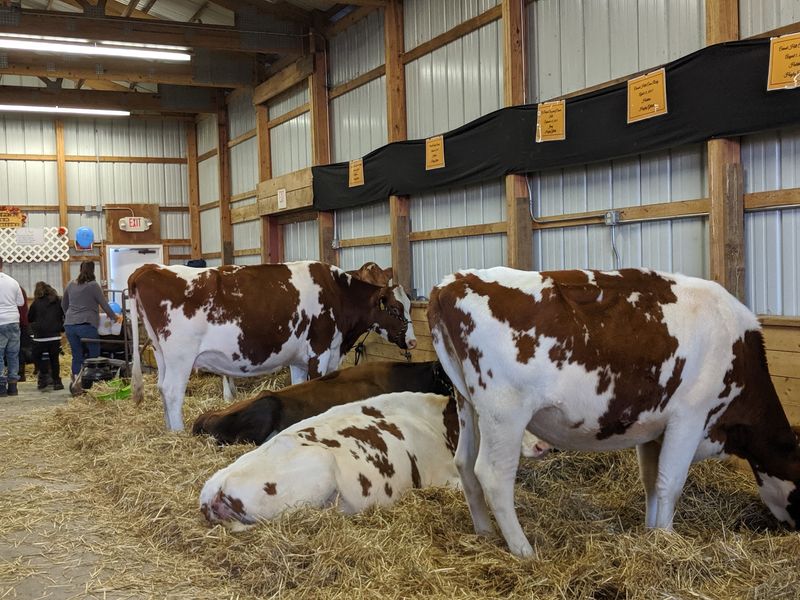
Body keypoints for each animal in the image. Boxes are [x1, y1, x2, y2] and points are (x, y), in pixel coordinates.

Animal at [129, 261, 416, 431]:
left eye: (410, 305)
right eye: (394, 309)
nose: (413, 341)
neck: (338, 293)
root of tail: (150, 268)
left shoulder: (300, 359)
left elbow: (300, 387)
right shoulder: (320, 351)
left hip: (161, 354)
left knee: (162, 388)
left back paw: (169, 430)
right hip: (181, 355)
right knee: (172, 391)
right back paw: (178, 433)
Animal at [427, 267, 800, 557]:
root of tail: (451, 282)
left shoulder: (653, 428)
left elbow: (652, 482)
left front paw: (651, 533)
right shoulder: (690, 417)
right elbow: (671, 483)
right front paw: (668, 541)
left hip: (469, 406)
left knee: (464, 463)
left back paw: (485, 534)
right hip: (504, 412)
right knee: (493, 475)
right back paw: (523, 551)